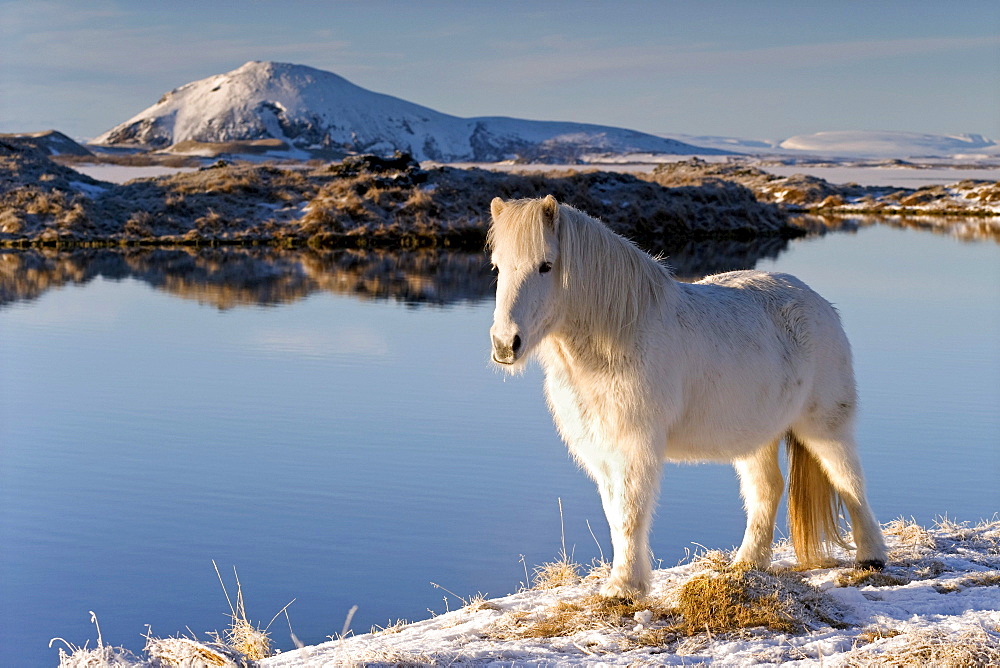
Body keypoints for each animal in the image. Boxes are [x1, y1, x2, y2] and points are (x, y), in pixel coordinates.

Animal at [488, 194, 888, 600]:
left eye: (546, 266)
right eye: (497, 267)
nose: (505, 345)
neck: (620, 338)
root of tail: (817, 303)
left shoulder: (635, 448)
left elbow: (630, 515)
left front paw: (625, 589)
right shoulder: (602, 451)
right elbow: (615, 517)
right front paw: (623, 584)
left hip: (824, 426)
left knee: (849, 480)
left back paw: (871, 558)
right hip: (756, 435)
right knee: (768, 488)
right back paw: (747, 563)